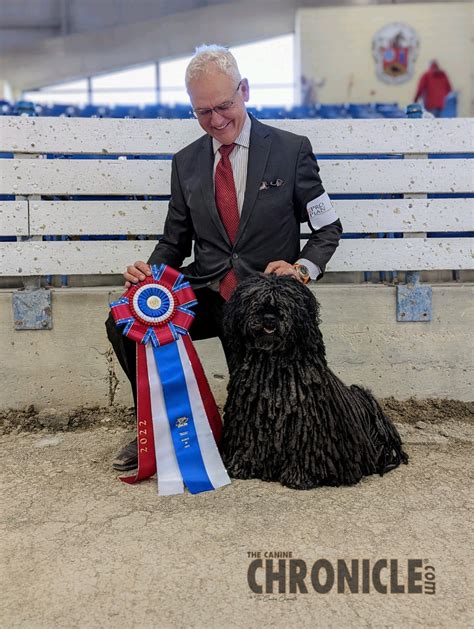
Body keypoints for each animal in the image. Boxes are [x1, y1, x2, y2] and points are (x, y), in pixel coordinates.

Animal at [222, 276, 408, 490]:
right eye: (254, 298)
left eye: (286, 299)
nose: (269, 317)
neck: (273, 366)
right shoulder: (250, 420)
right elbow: (249, 444)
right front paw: (241, 466)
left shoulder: (306, 426)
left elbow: (302, 449)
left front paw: (300, 477)